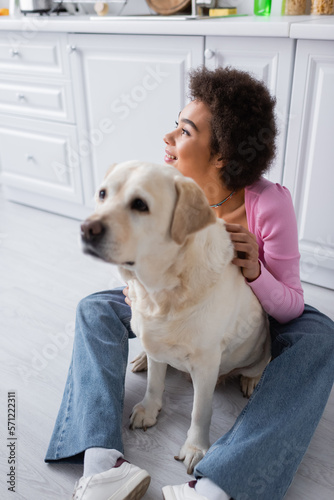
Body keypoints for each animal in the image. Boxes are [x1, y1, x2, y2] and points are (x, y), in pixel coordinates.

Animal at [81, 160, 272, 472]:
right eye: (102, 194)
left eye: (140, 204)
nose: (86, 229)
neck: (159, 292)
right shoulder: (156, 342)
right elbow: (154, 383)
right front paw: (149, 409)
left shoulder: (206, 363)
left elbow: (200, 411)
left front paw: (195, 447)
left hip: (257, 350)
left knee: (258, 365)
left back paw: (251, 379)